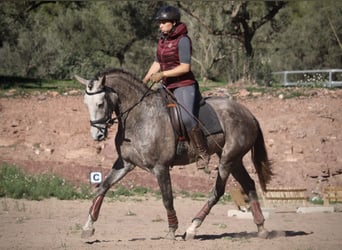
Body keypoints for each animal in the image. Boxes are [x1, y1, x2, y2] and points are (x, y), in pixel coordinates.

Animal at [75, 68, 272, 240]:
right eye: (85, 104)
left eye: (100, 103)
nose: (97, 135)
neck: (139, 117)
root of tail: (248, 113)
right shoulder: (125, 163)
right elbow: (103, 187)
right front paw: (87, 227)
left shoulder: (160, 167)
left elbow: (167, 199)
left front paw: (171, 230)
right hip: (234, 160)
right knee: (249, 184)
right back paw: (261, 227)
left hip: (227, 160)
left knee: (218, 191)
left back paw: (192, 228)